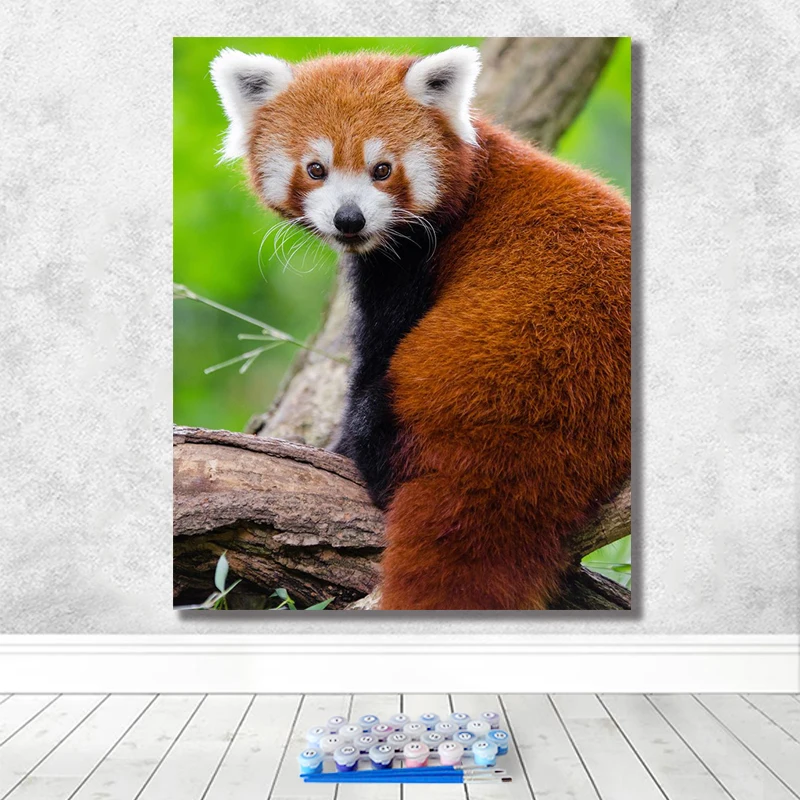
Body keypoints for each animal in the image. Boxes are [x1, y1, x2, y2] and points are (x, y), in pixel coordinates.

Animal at [210, 45, 631, 610]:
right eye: (316, 169)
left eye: (382, 169)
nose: (349, 219)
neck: (473, 180)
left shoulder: (410, 267)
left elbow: (375, 354)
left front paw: (334, 445)